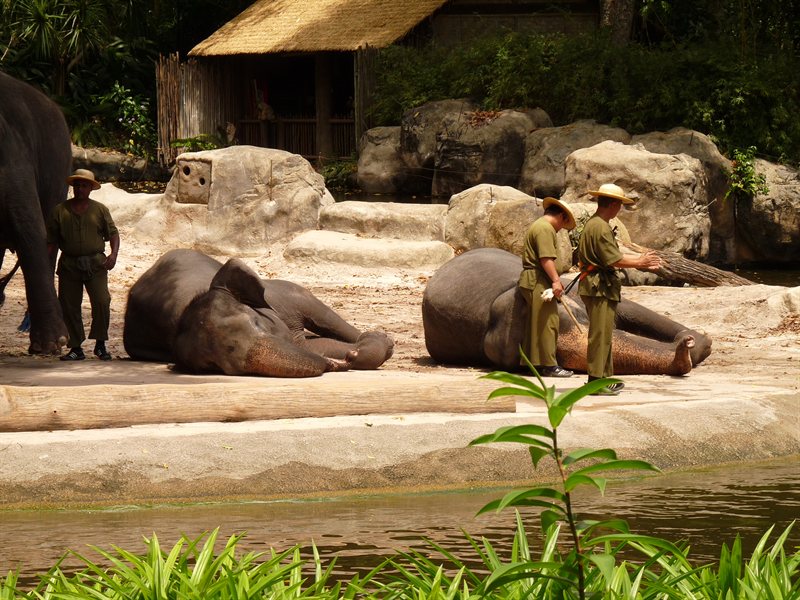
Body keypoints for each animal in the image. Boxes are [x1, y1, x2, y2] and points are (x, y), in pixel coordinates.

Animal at [123, 249, 394, 377]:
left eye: (256, 322)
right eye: (212, 365)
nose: (347, 358)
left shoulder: (278, 299)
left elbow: (315, 314)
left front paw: (374, 345)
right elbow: (311, 347)